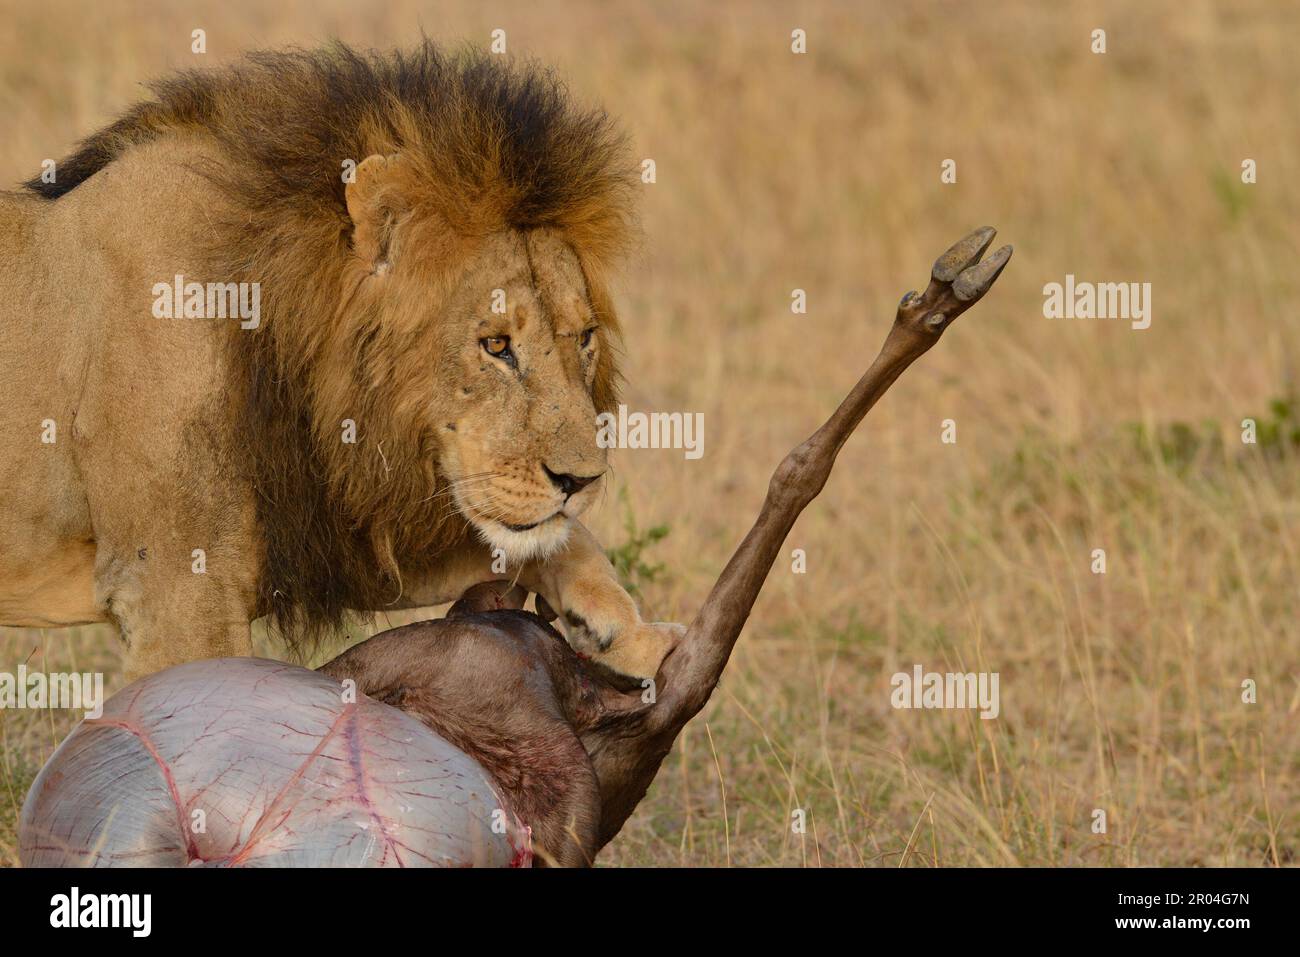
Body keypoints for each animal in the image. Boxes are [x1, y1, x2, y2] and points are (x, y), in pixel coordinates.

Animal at [2, 39, 681, 681]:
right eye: (495, 345)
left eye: (584, 337)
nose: (582, 481)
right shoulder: (173, 591)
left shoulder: (347, 521)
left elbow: (556, 540)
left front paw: (631, 635)